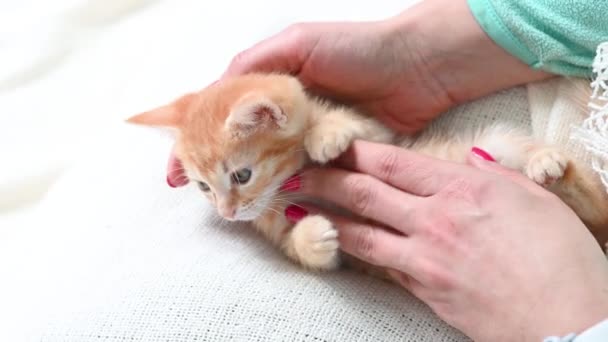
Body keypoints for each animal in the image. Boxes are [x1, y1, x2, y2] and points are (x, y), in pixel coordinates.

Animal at [127, 73, 608, 272]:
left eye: (241, 176)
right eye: (204, 187)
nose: (227, 214)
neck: (283, 188)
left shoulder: (381, 135)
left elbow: (349, 125)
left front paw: (325, 134)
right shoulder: (275, 222)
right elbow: (305, 248)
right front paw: (313, 239)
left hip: (496, 144)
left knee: (596, 205)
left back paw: (547, 165)